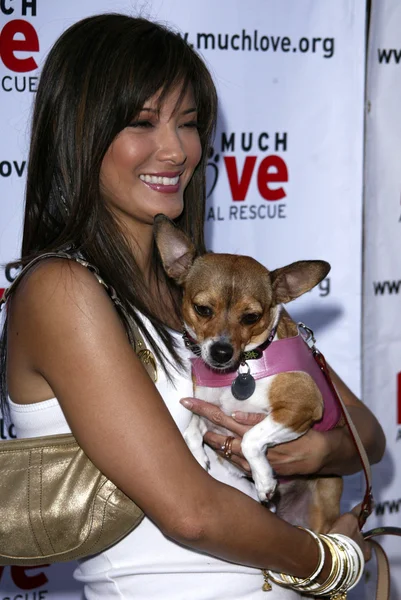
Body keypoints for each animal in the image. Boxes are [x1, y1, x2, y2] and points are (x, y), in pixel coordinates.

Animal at [155, 216, 342, 536]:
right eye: (202, 309)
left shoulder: (301, 408)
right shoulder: (203, 407)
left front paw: (264, 480)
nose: (221, 352)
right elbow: (192, 427)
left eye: (251, 317)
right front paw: (199, 456)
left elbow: (250, 439)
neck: (242, 368)